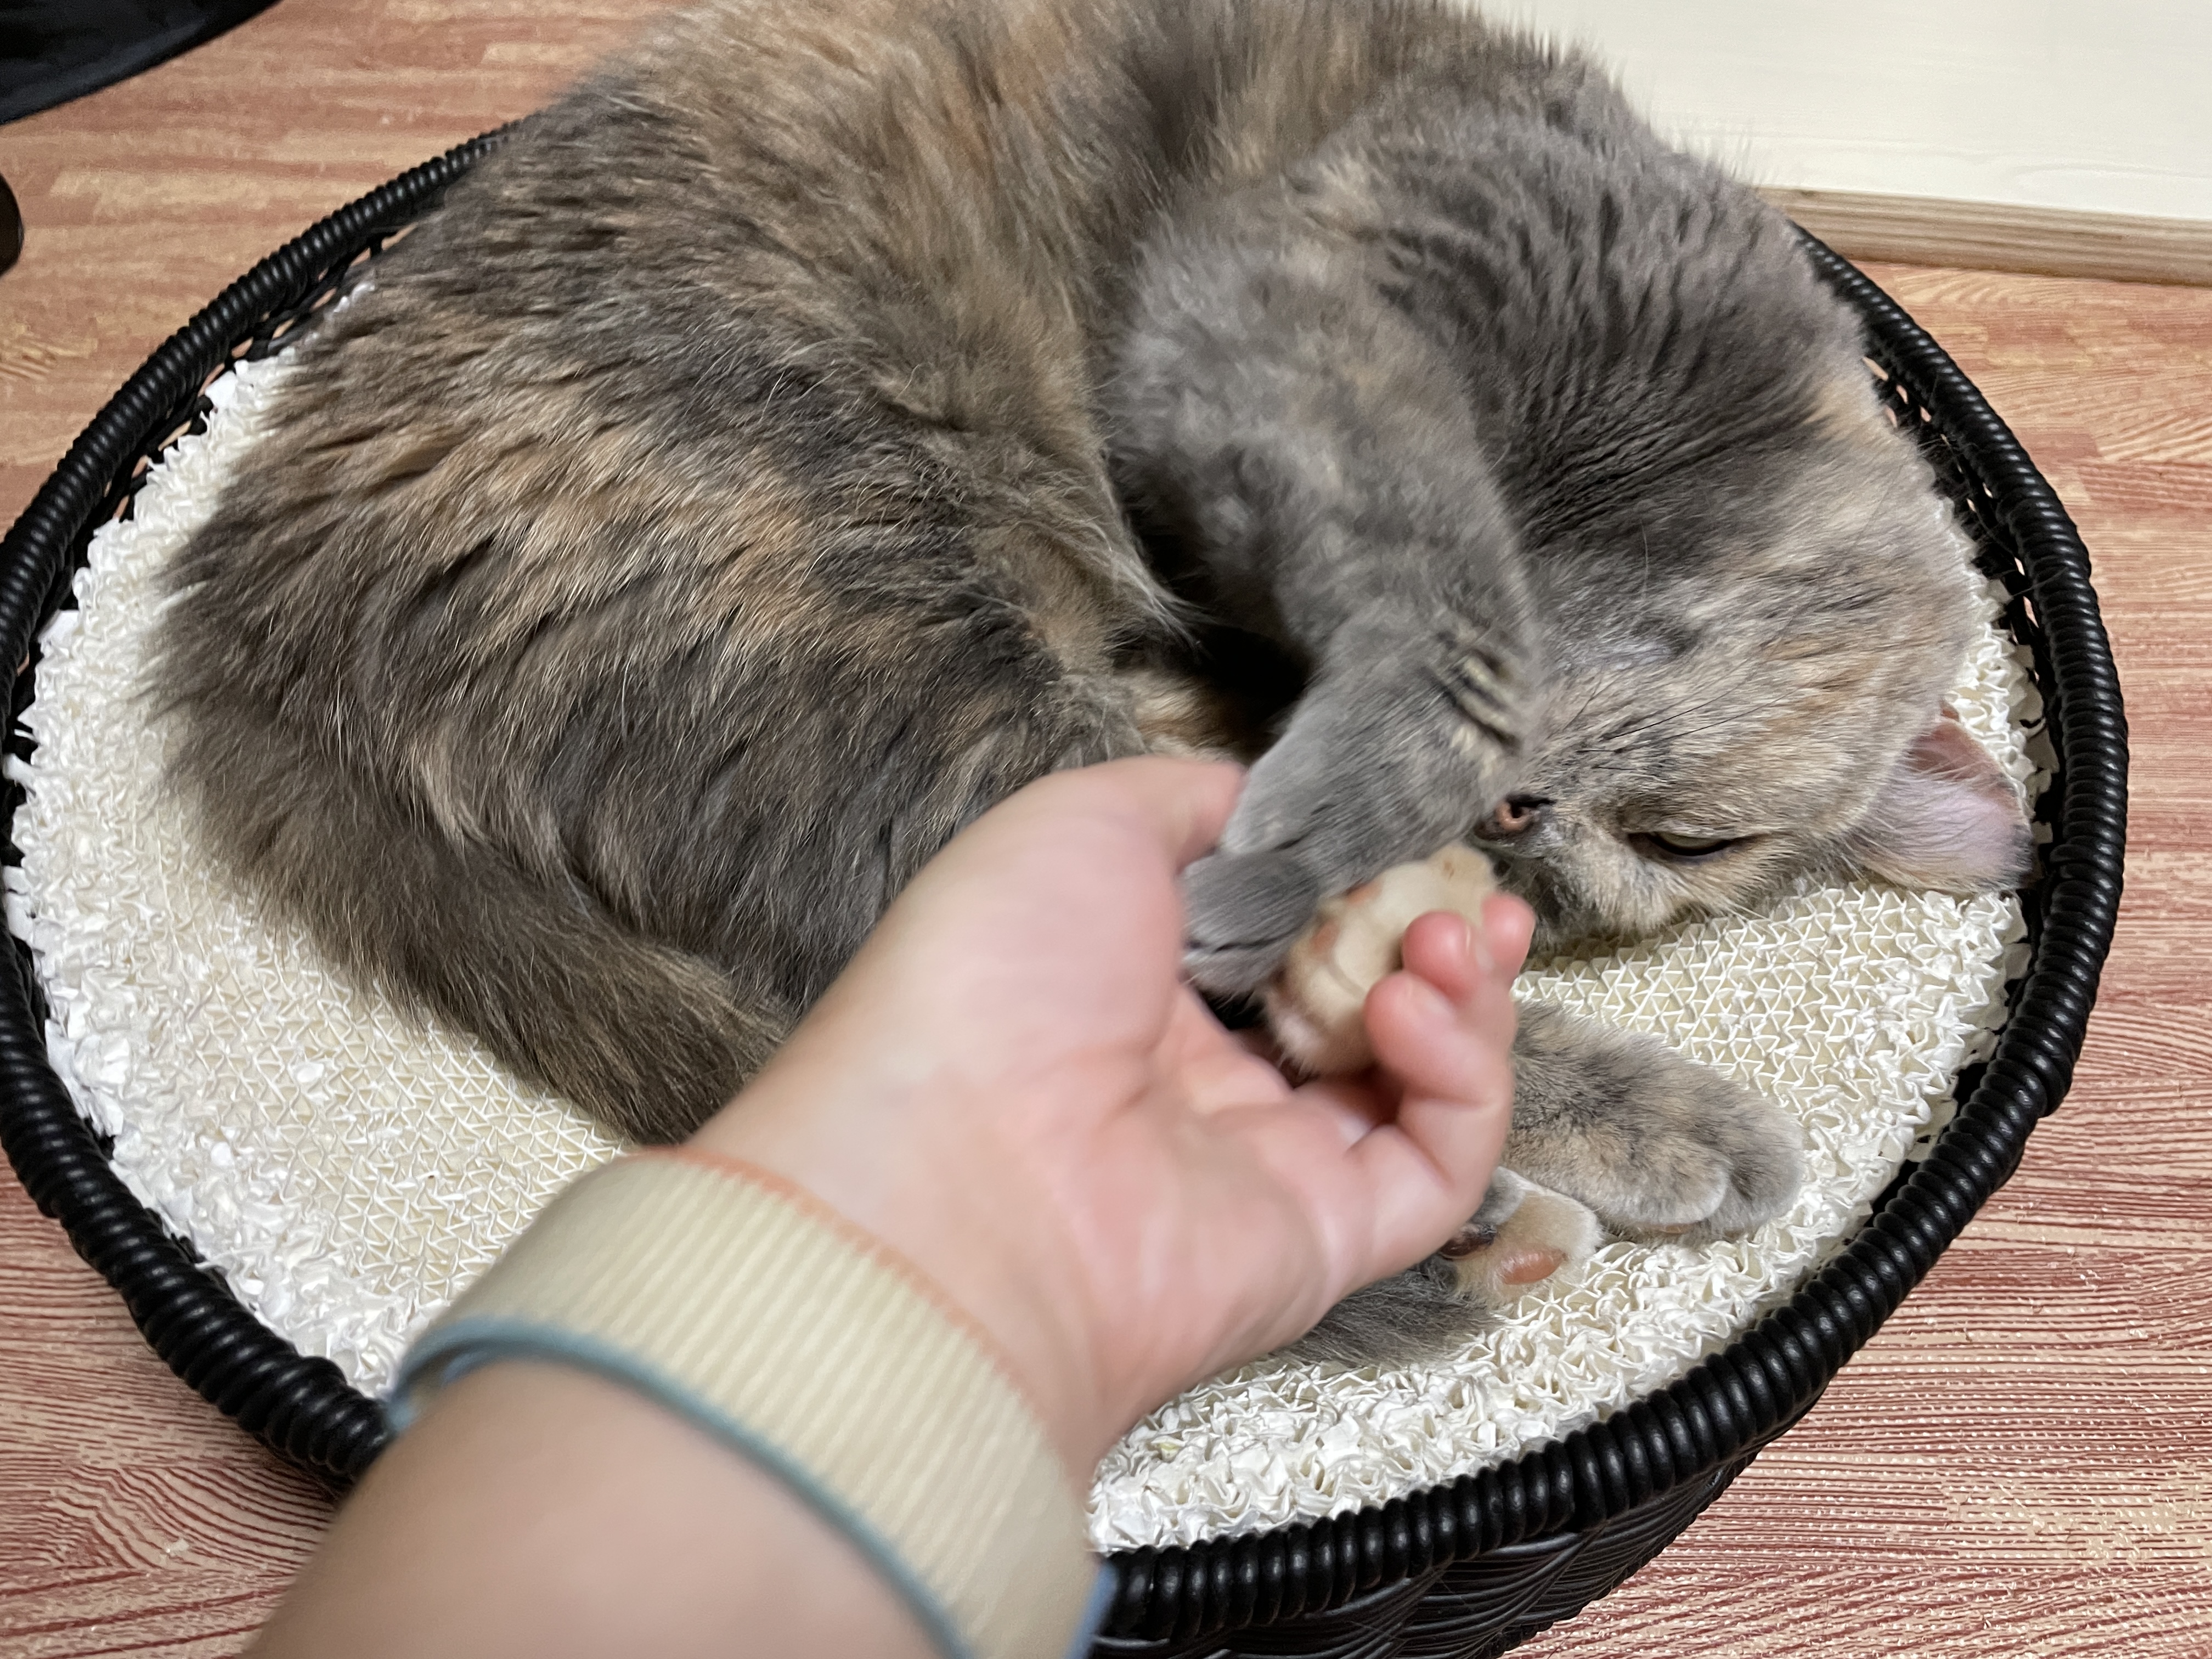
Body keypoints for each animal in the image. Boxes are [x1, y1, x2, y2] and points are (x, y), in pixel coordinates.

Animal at [149, 0, 2031, 1362]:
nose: (1527, 836)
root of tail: (238, 620)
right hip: (891, 615)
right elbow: (1428, 547)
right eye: (1693, 838)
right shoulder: (1308, 292)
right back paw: (1584, 1163)